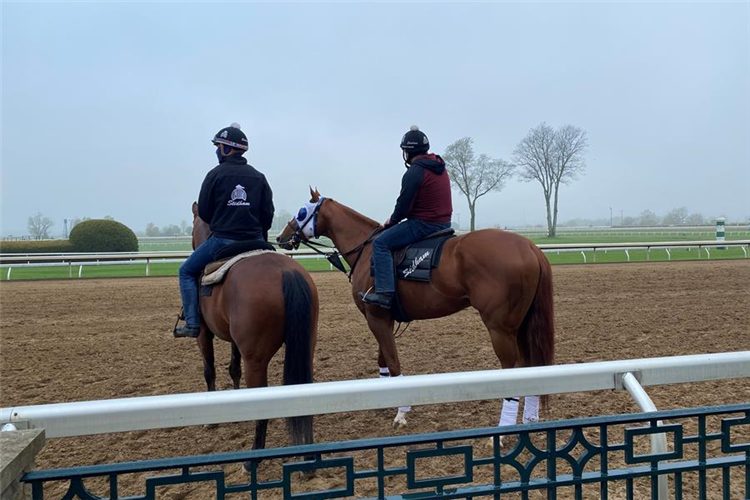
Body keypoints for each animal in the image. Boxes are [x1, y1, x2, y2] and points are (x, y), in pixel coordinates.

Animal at [191, 202, 320, 454]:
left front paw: (211, 421)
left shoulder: (203, 333)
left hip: (256, 360)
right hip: (306, 346)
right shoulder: (234, 340)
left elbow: (209, 370)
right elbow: (233, 368)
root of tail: (286, 272)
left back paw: (254, 458)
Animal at [280, 189, 556, 428]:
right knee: (533, 366)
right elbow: (383, 359)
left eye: (302, 211)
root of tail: (529, 246)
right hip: (521, 325)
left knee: (514, 370)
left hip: (500, 328)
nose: (282, 237)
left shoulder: (376, 317)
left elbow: (393, 362)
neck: (366, 250)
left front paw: (402, 413)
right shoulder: (382, 318)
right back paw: (530, 419)